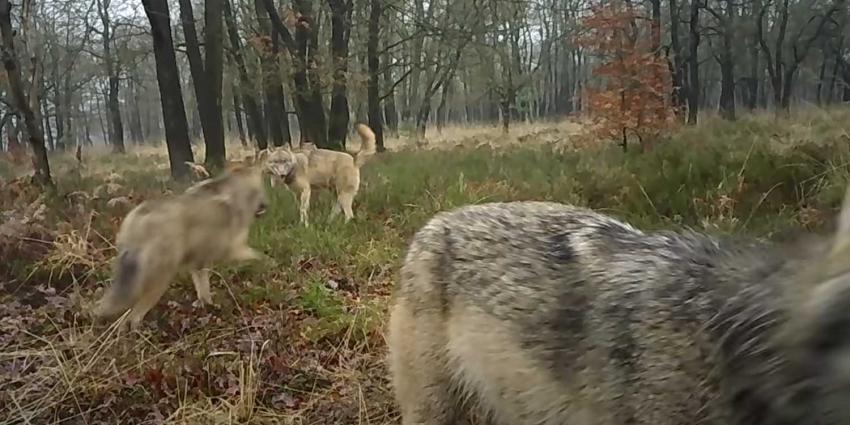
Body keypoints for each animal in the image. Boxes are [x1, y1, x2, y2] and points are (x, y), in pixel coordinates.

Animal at [92, 164, 266, 330]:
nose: (266, 206)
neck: (236, 188)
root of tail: (137, 221)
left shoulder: (199, 262)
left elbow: (203, 289)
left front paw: (207, 306)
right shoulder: (232, 250)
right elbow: (260, 257)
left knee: (125, 314)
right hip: (159, 279)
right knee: (134, 316)